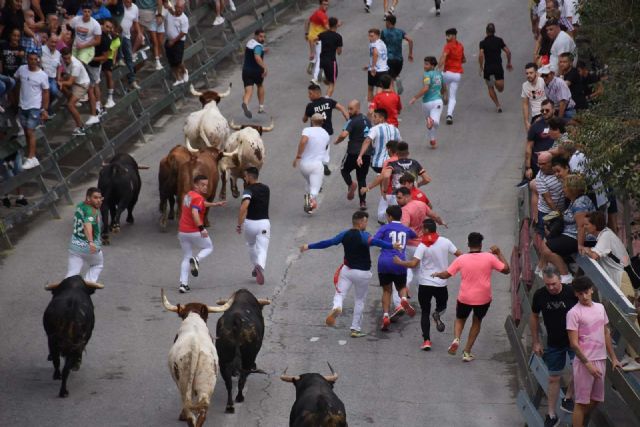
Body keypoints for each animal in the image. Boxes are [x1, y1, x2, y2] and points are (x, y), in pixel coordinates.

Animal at [160, 290, 232, 426]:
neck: (194, 321)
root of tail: (195, 345)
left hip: (184, 384)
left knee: (189, 409)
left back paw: (185, 416)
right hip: (207, 381)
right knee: (202, 407)